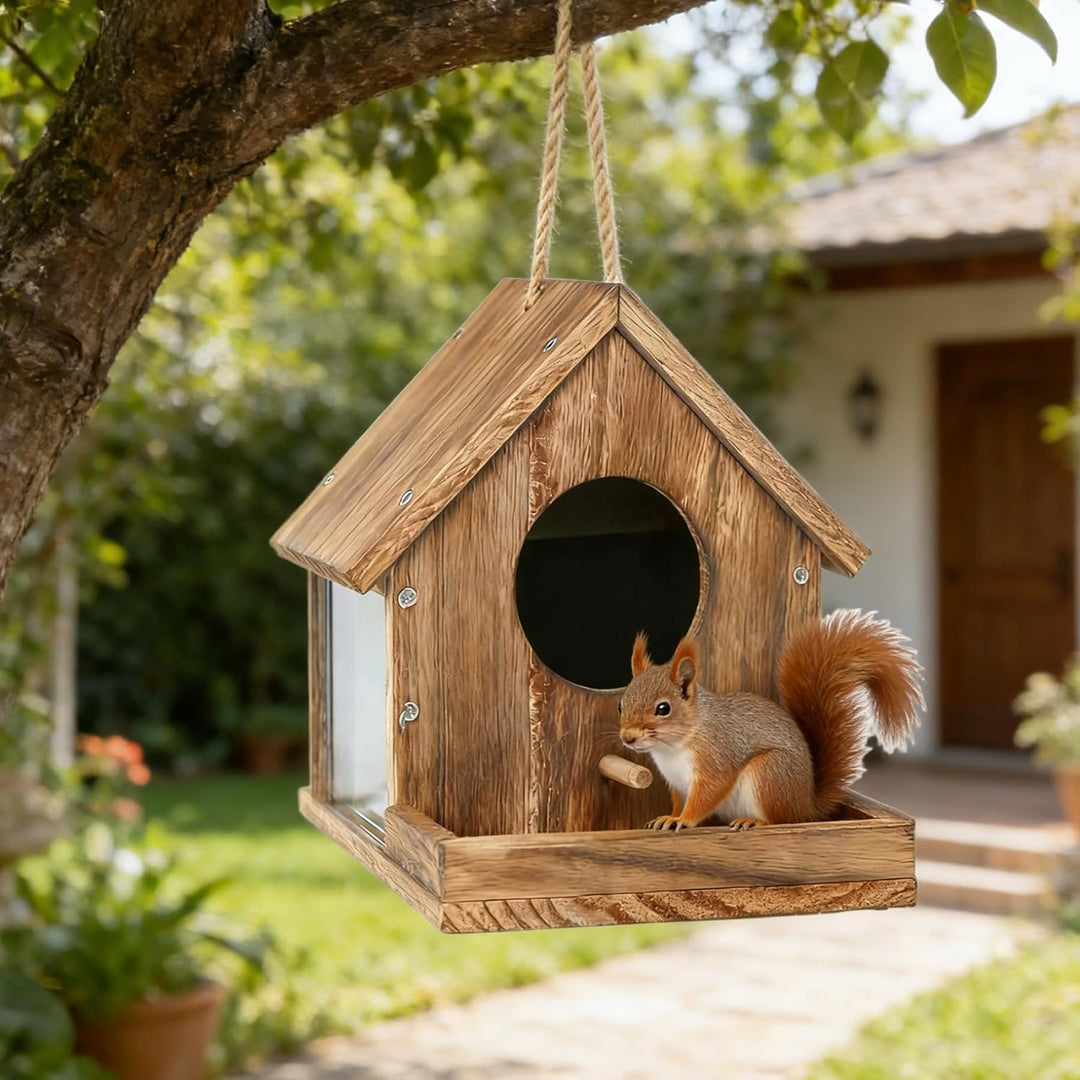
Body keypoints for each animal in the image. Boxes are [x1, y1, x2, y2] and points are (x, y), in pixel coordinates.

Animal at [617, 609, 923, 831]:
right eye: (621, 703)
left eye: (663, 708)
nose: (628, 738)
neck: (673, 746)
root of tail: (806, 806)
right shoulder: (677, 781)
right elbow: (679, 801)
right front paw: (668, 816)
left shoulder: (717, 758)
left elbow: (706, 796)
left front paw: (682, 820)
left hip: (770, 773)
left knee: (781, 820)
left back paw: (755, 821)